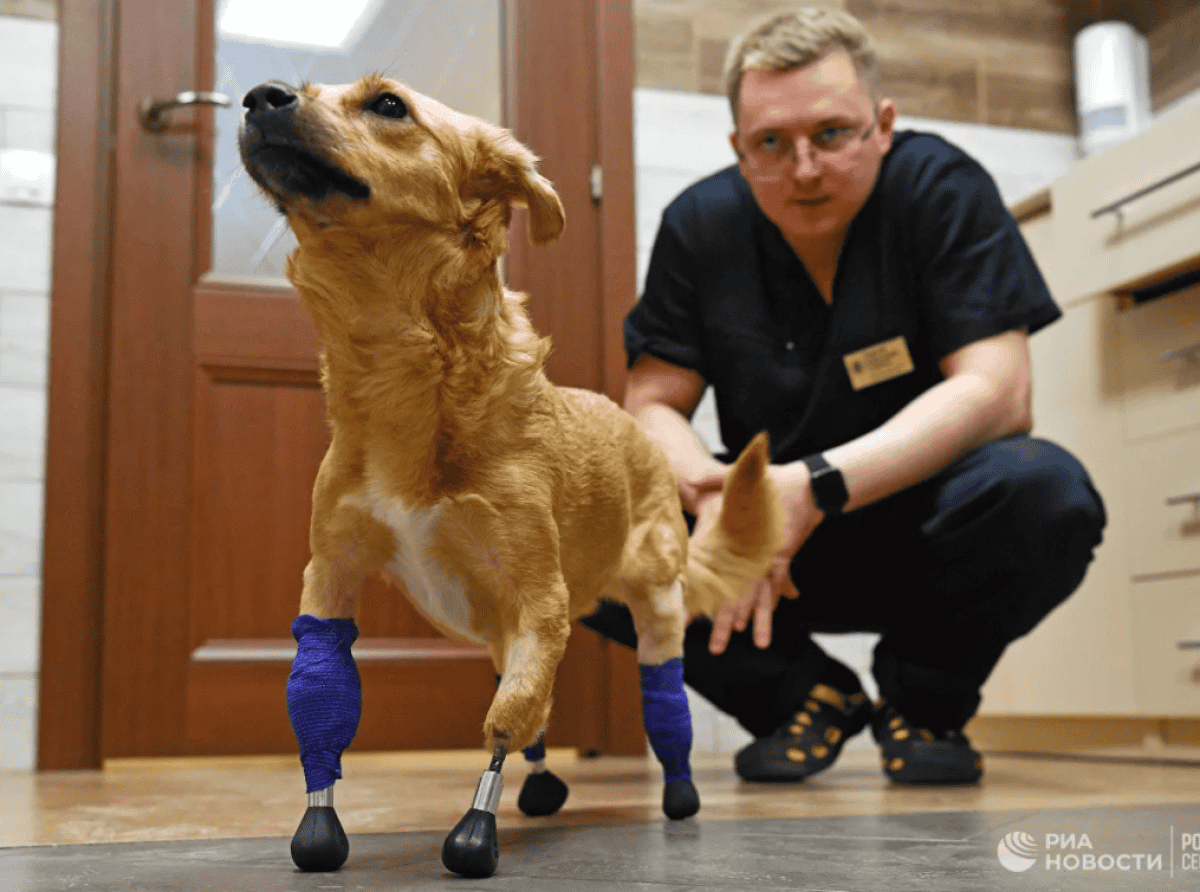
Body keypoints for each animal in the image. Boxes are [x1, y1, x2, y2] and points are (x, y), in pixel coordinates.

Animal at [238, 75, 782, 878]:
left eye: (389, 105)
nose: (258, 95)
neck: (400, 371)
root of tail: (635, 429)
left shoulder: (538, 600)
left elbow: (505, 721)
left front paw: (476, 827)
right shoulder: (330, 579)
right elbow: (321, 708)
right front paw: (319, 821)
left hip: (655, 608)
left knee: (663, 703)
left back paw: (680, 792)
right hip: (505, 629)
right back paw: (547, 783)